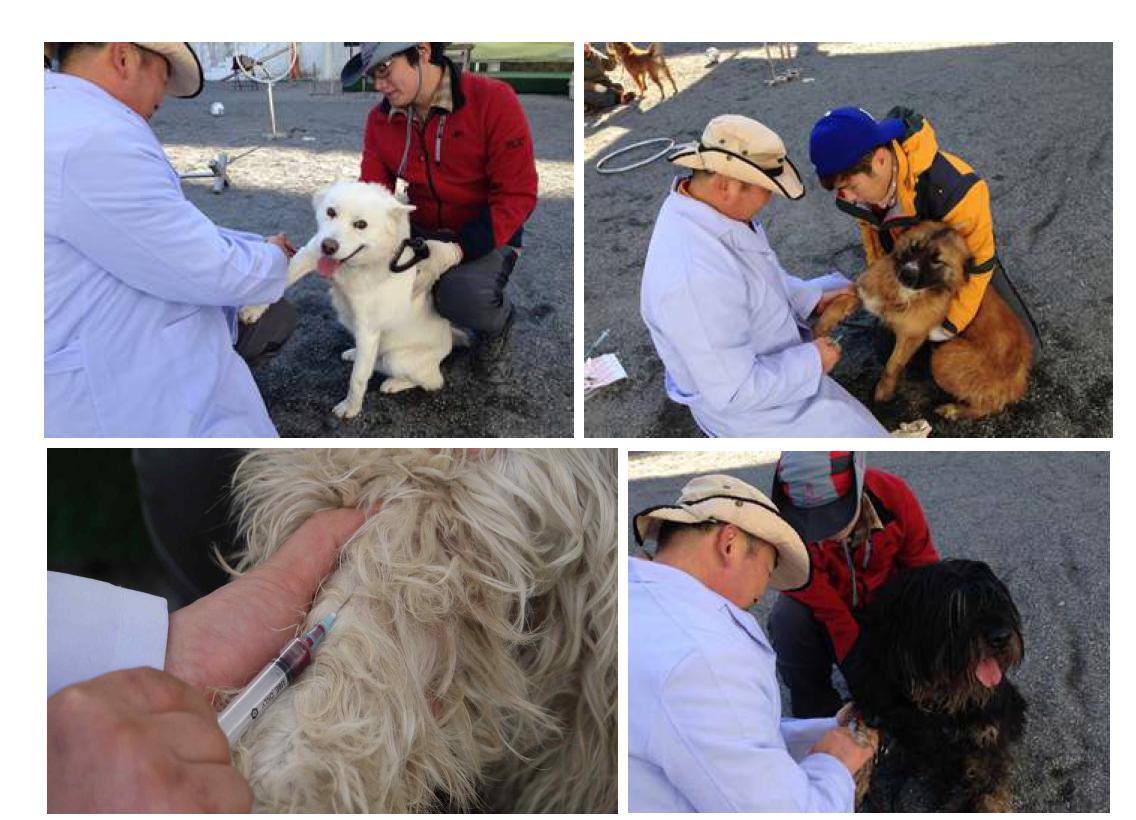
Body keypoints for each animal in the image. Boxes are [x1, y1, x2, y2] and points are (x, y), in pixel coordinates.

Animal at [245, 181, 465, 417]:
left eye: (361, 224)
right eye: (331, 212)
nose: (328, 246)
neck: (351, 267)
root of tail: (450, 338)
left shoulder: (368, 331)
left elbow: (357, 378)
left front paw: (350, 408)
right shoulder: (309, 253)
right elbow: (280, 277)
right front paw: (252, 308)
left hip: (396, 359)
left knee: (433, 381)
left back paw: (394, 383)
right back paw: (354, 353)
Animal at [813, 220, 1036, 417]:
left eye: (937, 260)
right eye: (914, 247)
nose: (906, 275)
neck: (903, 294)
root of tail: (1020, 376)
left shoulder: (911, 336)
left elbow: (892, 365)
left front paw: (883, 393)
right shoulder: (864, 293)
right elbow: (836, 303)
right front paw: (818, 334)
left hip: (943, 357)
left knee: (991, 405)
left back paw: (954, 411)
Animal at [854, 558, 1026, 808]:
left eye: (996, 599)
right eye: (956, 609)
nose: (1001, 637)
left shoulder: (987, 735)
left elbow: (989, 782)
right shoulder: (931, 748)